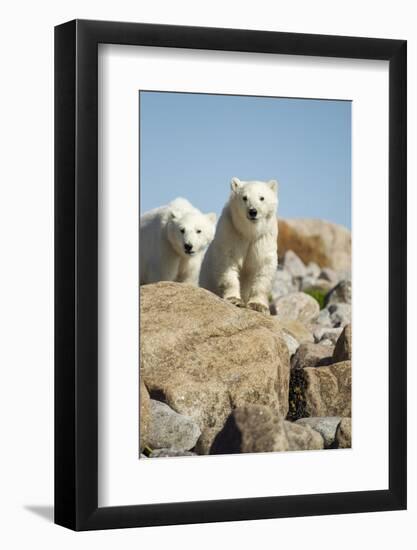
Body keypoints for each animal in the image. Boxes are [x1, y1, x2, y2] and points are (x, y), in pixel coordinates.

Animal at [199, 177, 278, 314]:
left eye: (262, 198)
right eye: (244, 197)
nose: (253, 211)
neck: (249, 232)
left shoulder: (264, 237)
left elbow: (264, 267)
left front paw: (258, 305)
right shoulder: (231, 232)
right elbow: (228, 264)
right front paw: (234, 299)